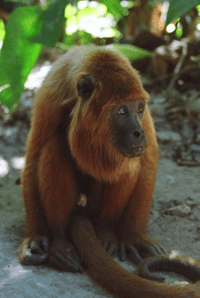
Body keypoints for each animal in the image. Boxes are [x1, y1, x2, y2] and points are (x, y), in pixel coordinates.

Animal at [19, 46, 200, 298]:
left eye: (139, 109)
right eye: (121, 111)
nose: (138, 133)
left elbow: (149, 160)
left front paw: (133, 237)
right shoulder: (50, 98)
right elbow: (33, 158)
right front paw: (37, 237)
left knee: (130, 162)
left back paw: (106, 232)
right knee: (53, 147)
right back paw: (60, 243)